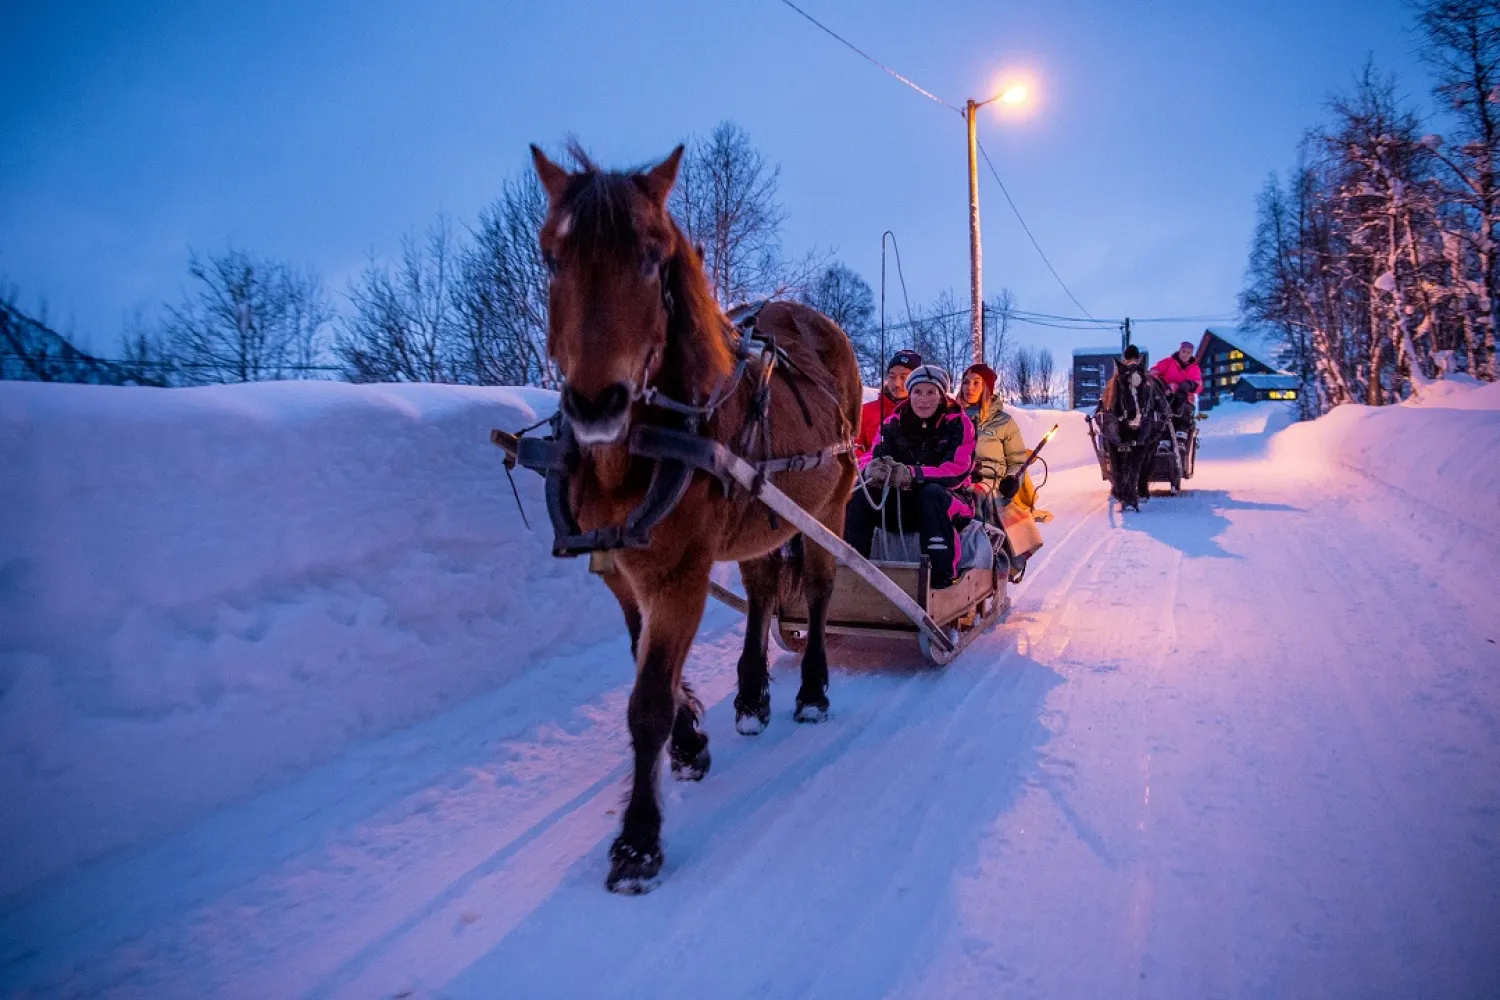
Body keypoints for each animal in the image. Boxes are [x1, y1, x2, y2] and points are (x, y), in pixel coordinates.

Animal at [531, 140, 864, 893]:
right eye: (551, 257)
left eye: (653, 259)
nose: (596, 404)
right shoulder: (622, 572)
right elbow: (643, 659)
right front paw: (691, 740)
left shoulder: (680, 572)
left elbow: (648, 699)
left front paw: (637, 843)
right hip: (764, 515)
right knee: (766, 590)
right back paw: (751, 697)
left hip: (827, 505)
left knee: (819, 592)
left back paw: (811, 691)